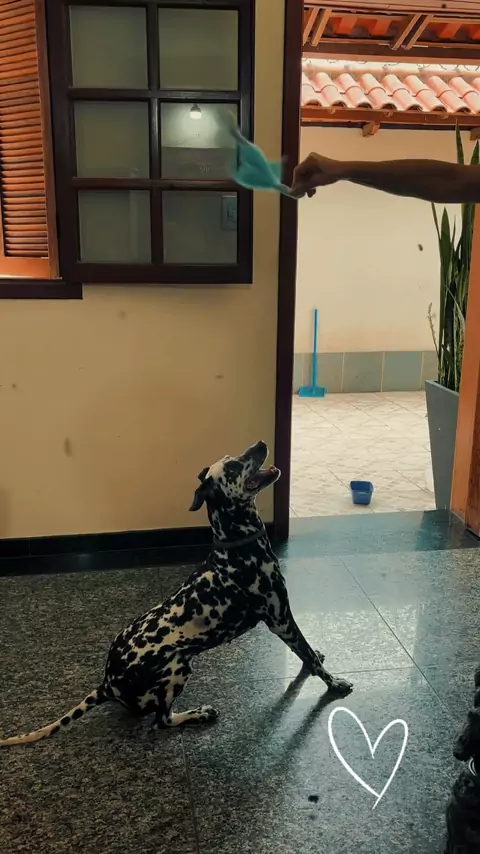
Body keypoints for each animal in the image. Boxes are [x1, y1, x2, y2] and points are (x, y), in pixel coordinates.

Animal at [0, 441, 352, 746]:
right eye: (234, 465)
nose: (261, 444)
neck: (238, 549)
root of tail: (108, 684)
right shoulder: (280, 619)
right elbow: (308, 657)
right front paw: (334, 683)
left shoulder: (284, 621)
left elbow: (305, 652)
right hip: (178, 668)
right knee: (161, 720)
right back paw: (198, 714)